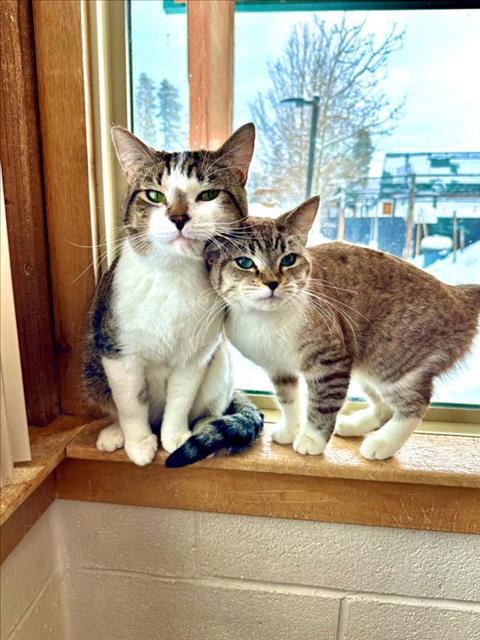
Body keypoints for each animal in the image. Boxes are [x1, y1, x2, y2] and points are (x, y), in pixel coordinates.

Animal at [82, 125, 262, 468]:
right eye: (154, 195)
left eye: (208, 195)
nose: (178, 217)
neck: (172, 276)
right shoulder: (119, 352)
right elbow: (131, 403)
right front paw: (139, 443)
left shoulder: (196, 354)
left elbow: (180, 398)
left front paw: (175, 436)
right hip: (92, 369)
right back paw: (115, 433)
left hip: (221, 362)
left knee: (213, 407)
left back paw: (205, 429)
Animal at [206, 196, 480, 460]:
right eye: (244, 262)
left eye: (289, 259)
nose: (273, 283)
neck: (268, 321)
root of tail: (457, 293)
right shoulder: (279, 368)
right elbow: (289, 400)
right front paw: (291, 429)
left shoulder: (331, 360)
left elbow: (323, 403)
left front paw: (311, 439)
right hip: (364, 363)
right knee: (385, 406)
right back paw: (352, 426)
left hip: (390, 360)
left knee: (416, 403)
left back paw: (383, 443)